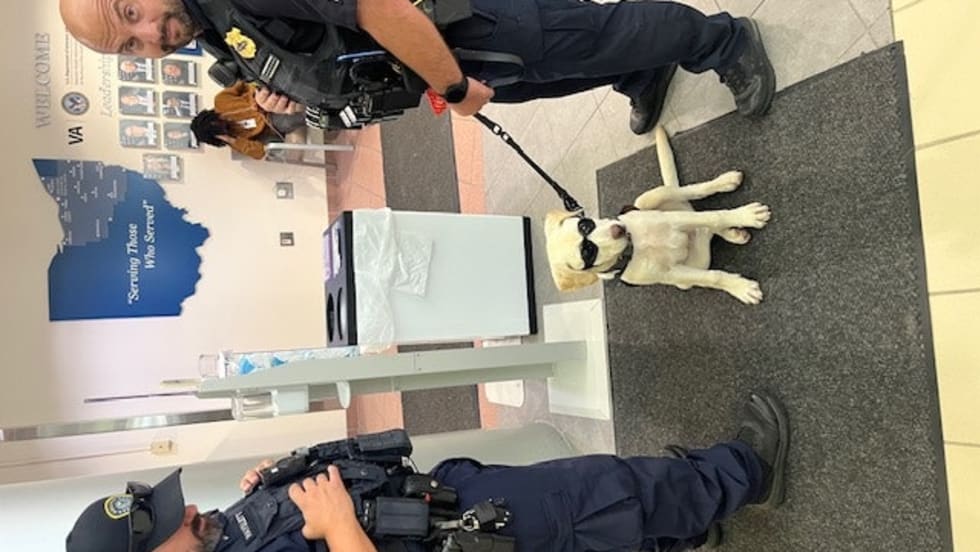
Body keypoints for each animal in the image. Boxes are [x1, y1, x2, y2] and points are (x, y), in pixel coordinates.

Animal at [544, 126, 771, 304]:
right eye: (588, 252)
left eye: (585, 225)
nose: (619, 229)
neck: (635, 246)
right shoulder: (674, 274)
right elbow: (712, 277)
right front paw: (741, 288)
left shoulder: (674, 220)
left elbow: (716, 216)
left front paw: (746, 215)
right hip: (689, 274)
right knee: (707, 229)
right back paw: (733, 234)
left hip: (650, 198)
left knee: (694, 194)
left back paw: (725, 182)